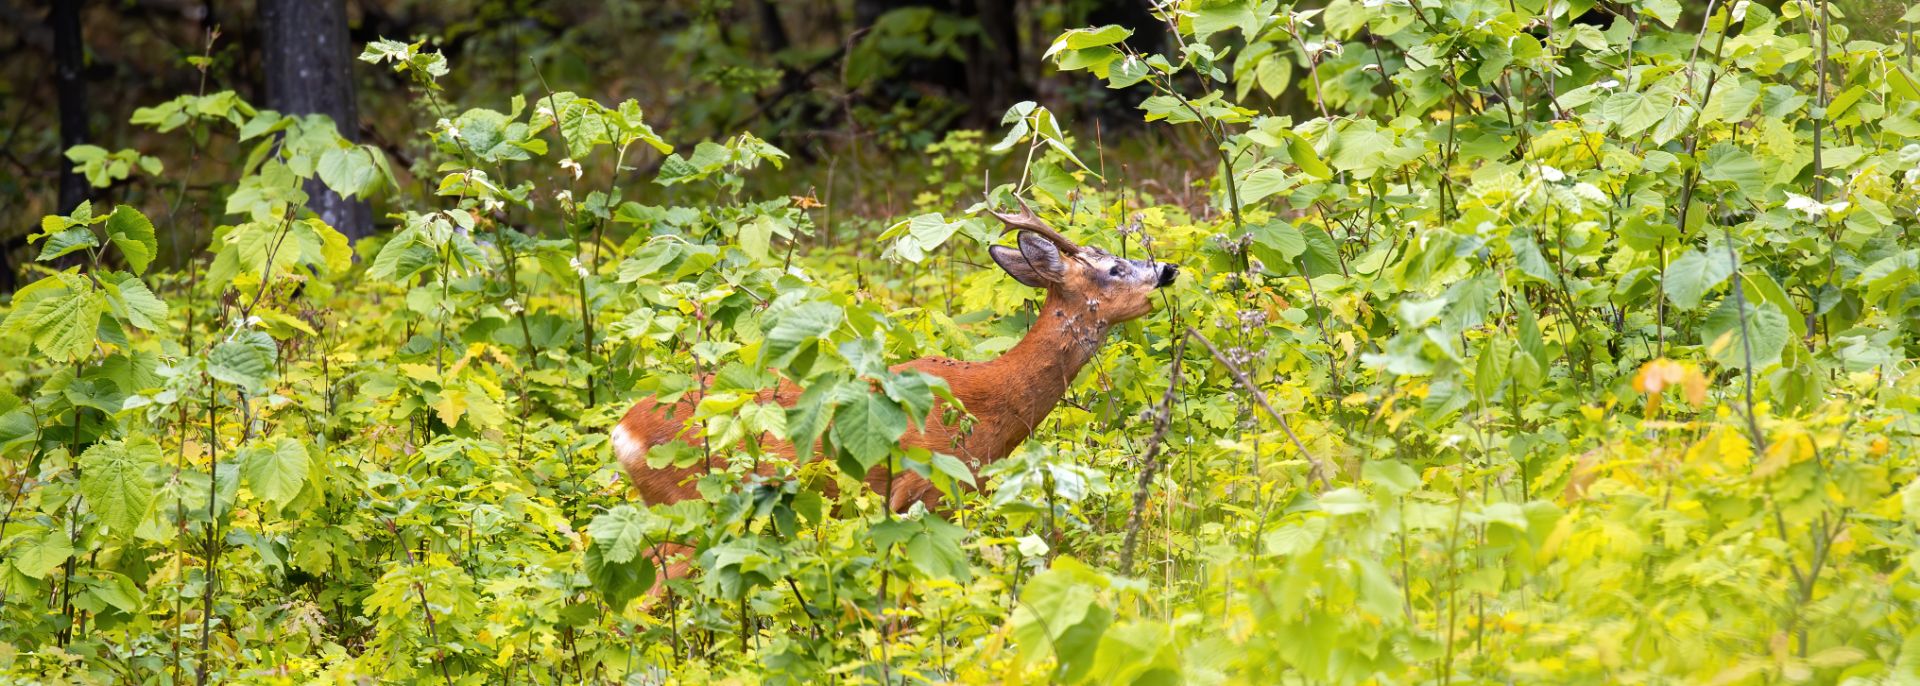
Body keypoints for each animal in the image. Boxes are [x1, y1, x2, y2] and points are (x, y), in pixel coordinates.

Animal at [614, 200, 1175, 514]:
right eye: (1114, 269)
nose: (1168, 269)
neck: (989, 405)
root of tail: (623, 434)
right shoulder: (926, 488)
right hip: (693, 500)